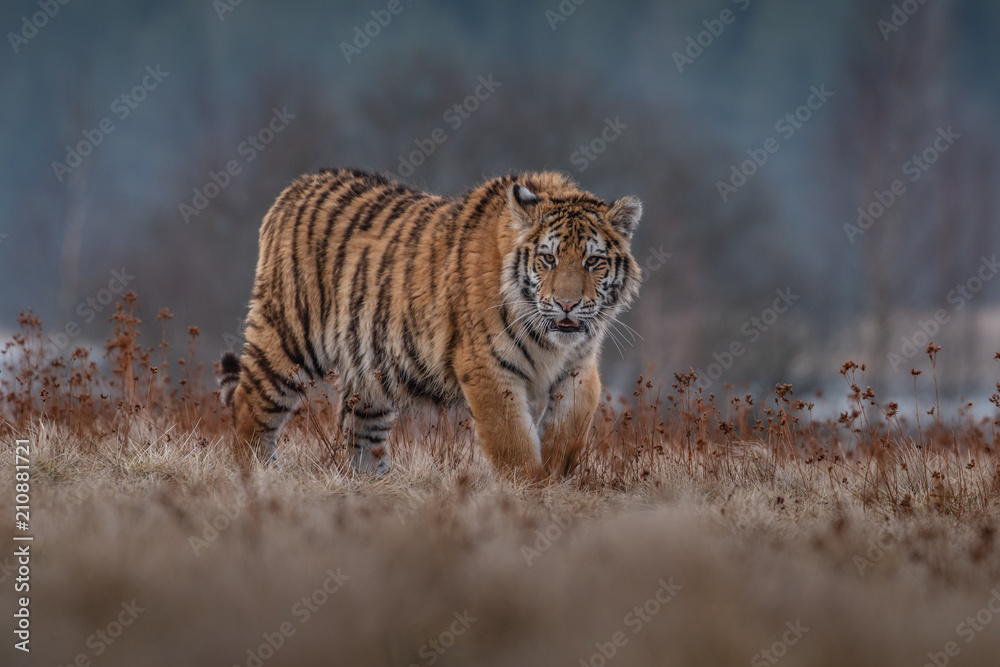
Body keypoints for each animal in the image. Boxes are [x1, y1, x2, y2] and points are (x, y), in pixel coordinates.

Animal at [218, 167, 642, 480]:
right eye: (548, 259)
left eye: (592, 261)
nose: (567, 304)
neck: (550, 341)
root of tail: (295, 187)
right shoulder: (488, 369)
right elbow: (513, 443)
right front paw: (531, 489)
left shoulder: (579, 366)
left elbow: (573, 423)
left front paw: (555, 470)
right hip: (288, 339)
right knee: (250, 406)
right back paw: (259, 476)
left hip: (370, 373)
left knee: (358, 430)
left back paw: (374, 484)